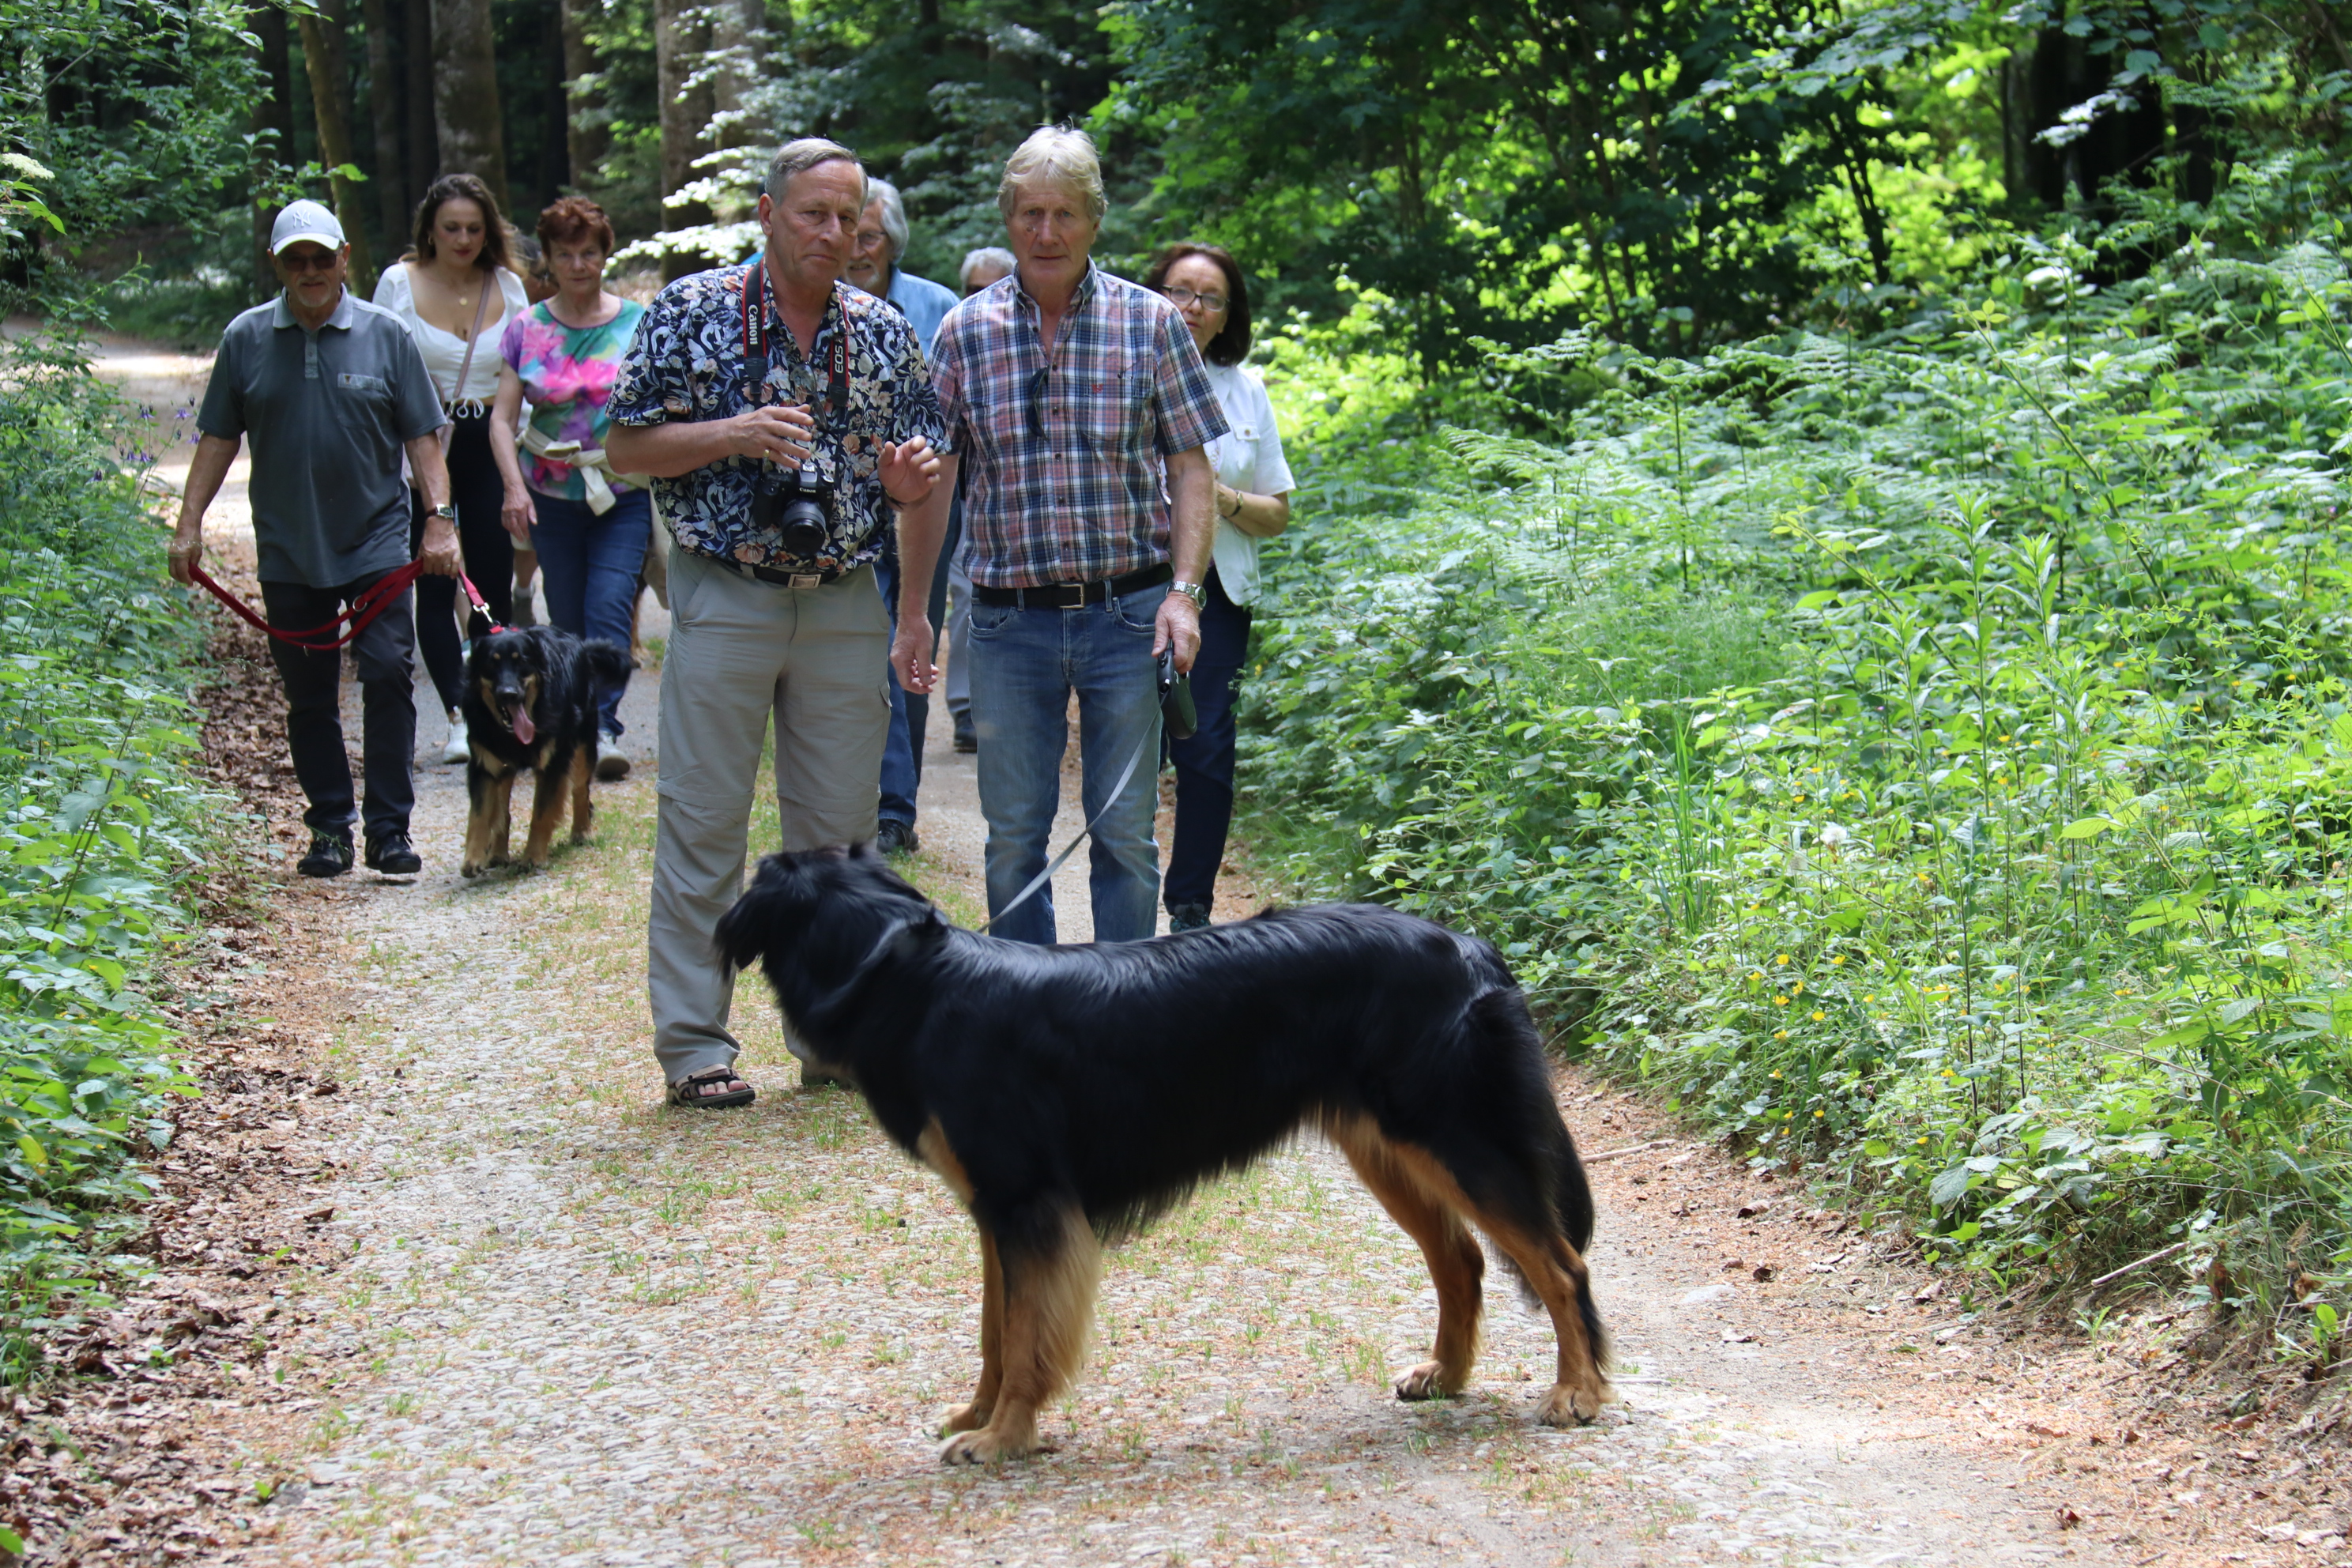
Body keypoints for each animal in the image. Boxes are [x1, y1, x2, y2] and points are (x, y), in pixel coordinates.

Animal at [458, 620, 632, 878]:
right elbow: (479, 816)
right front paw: (473, 859)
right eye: (492, 663)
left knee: (580, 790)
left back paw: (582, 832)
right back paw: (498, 853)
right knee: (502, 811)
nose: (509, 694)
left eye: (521, 661)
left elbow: (541, 813)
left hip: (582, 744)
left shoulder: (553, 763)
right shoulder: (485, 764)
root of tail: (580, 643)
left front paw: (533, 857)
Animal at [715, 846, 1611, 1465]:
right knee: (1463, 1259)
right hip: (1390, 1147)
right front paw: (980, 1416)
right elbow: (995, 1332)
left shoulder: (1029, 1203)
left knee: (1559, 1265)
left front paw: (1003, 1437)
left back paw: (1579, 1390)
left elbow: (1026, 1334)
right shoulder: (997, 1210)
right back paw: (1448, 1376)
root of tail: (1472, 948)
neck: (911, 979)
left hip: (1453, 1136)